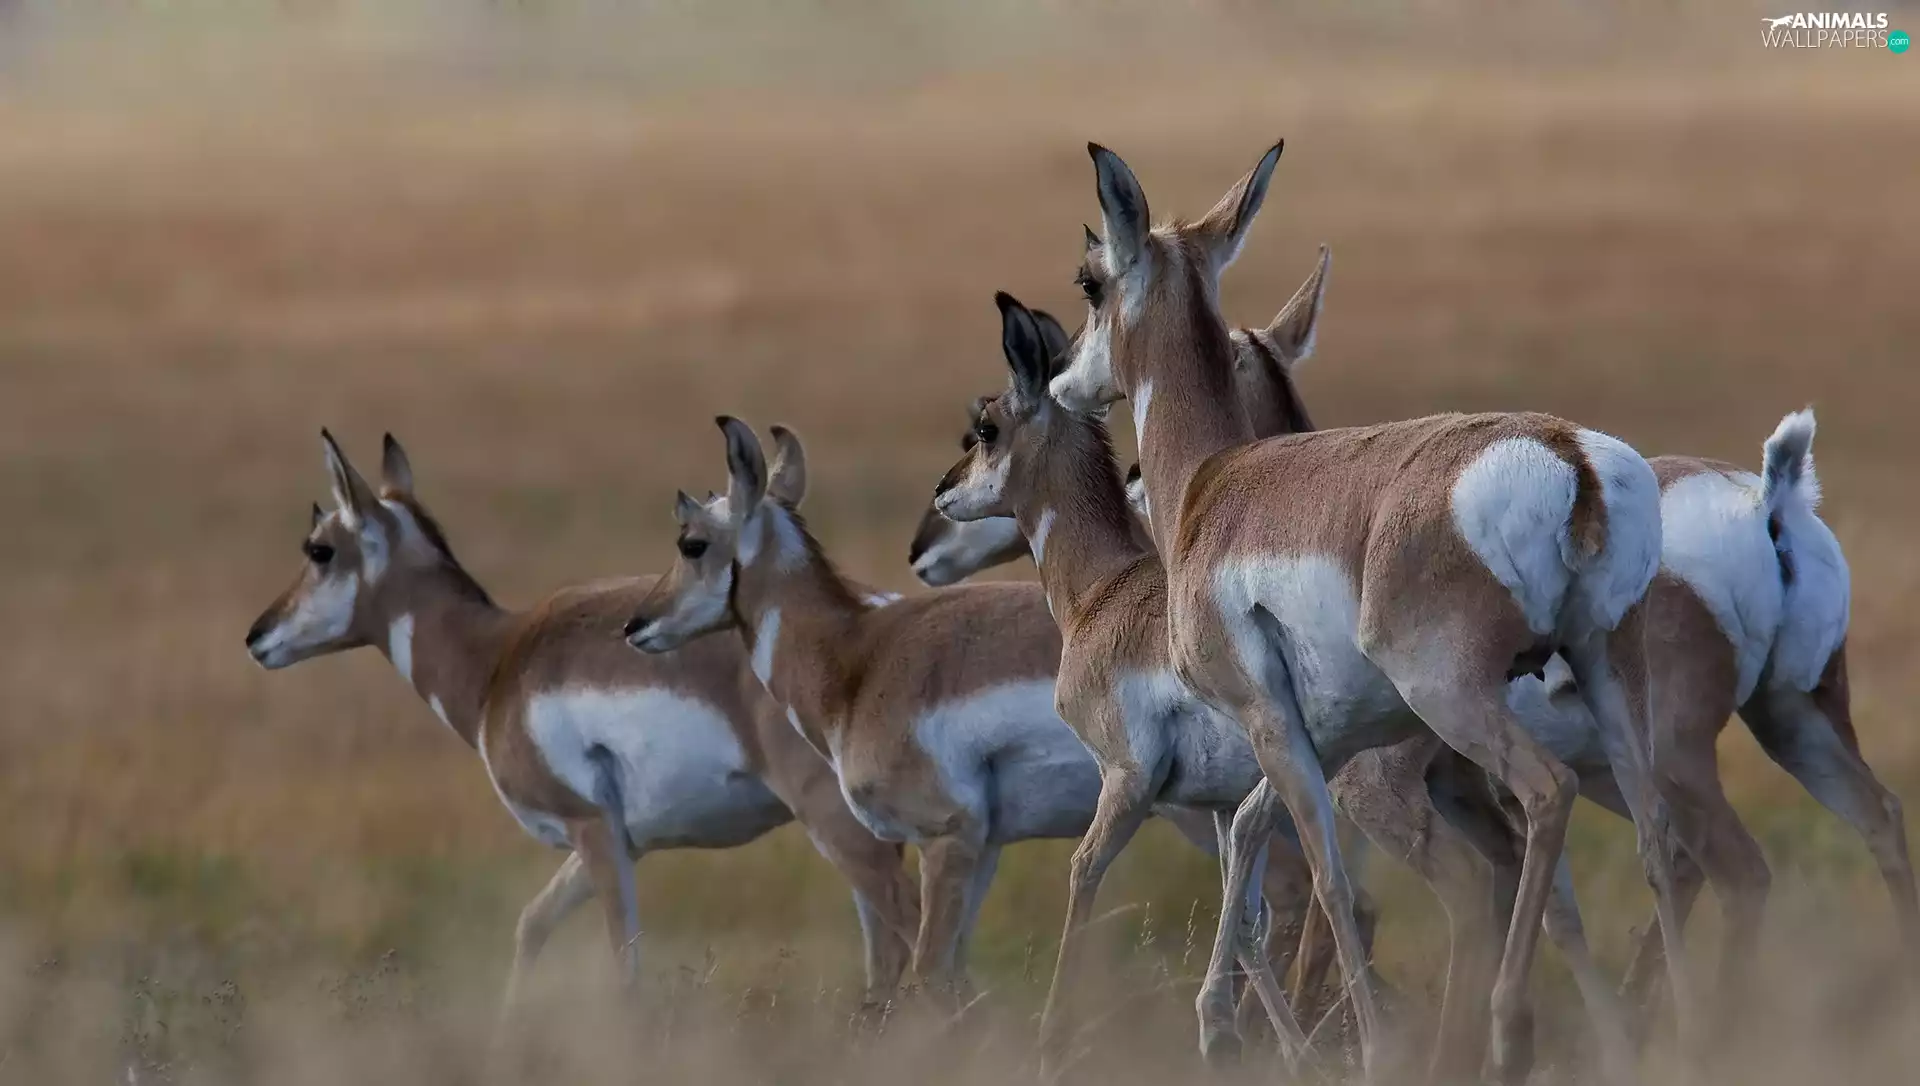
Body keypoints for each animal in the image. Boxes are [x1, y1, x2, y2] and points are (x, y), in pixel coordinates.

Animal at [244, 431, 920, 1016]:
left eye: (319, 549)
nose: (257, 636)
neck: (500, 660)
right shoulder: (620, 843)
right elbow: (531, 924)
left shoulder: (593, 831)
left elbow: (625, 967)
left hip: (839, 825)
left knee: (908, 929)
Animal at [1043, 140, 1692, 1082]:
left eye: (1091, 281)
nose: (1060, 381)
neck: (1215, 482)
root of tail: (1567, 454)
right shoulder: (1332, 735)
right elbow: (1253, 834)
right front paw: (1224, 1027)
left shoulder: (1273, 723)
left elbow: (1324, 875)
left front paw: (1362, 1046)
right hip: (1606, 675)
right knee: (1656, 838)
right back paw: (1684, 1037)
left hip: (1455, 700)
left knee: (1542, 803)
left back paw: (1506, 1034)